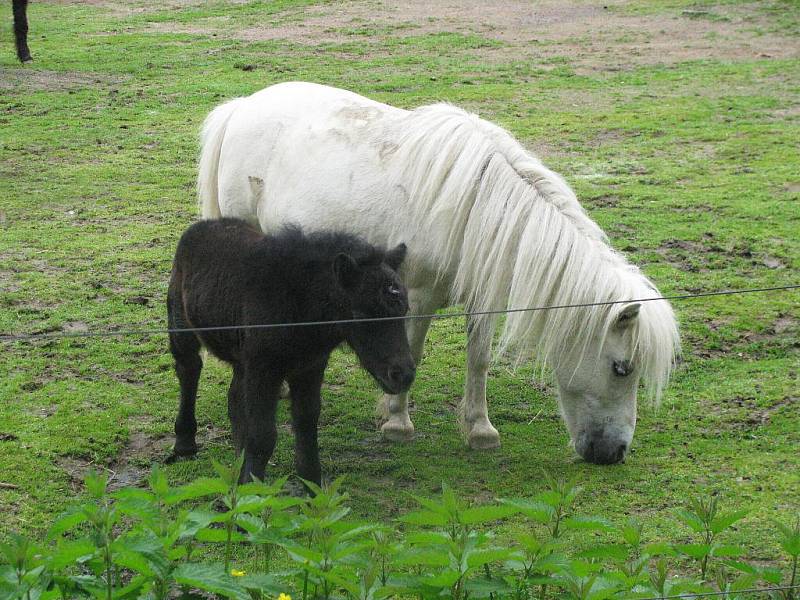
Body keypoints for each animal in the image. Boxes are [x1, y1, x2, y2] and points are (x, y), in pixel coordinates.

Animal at [197, 81, 680, 464]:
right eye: (622, 368)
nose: (614, 453)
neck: (478, 208)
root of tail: (240, 107)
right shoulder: (417, 294)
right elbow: (411, 352)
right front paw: (397, 422)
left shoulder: (483, 300)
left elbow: (478, 359)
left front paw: (479, 429)